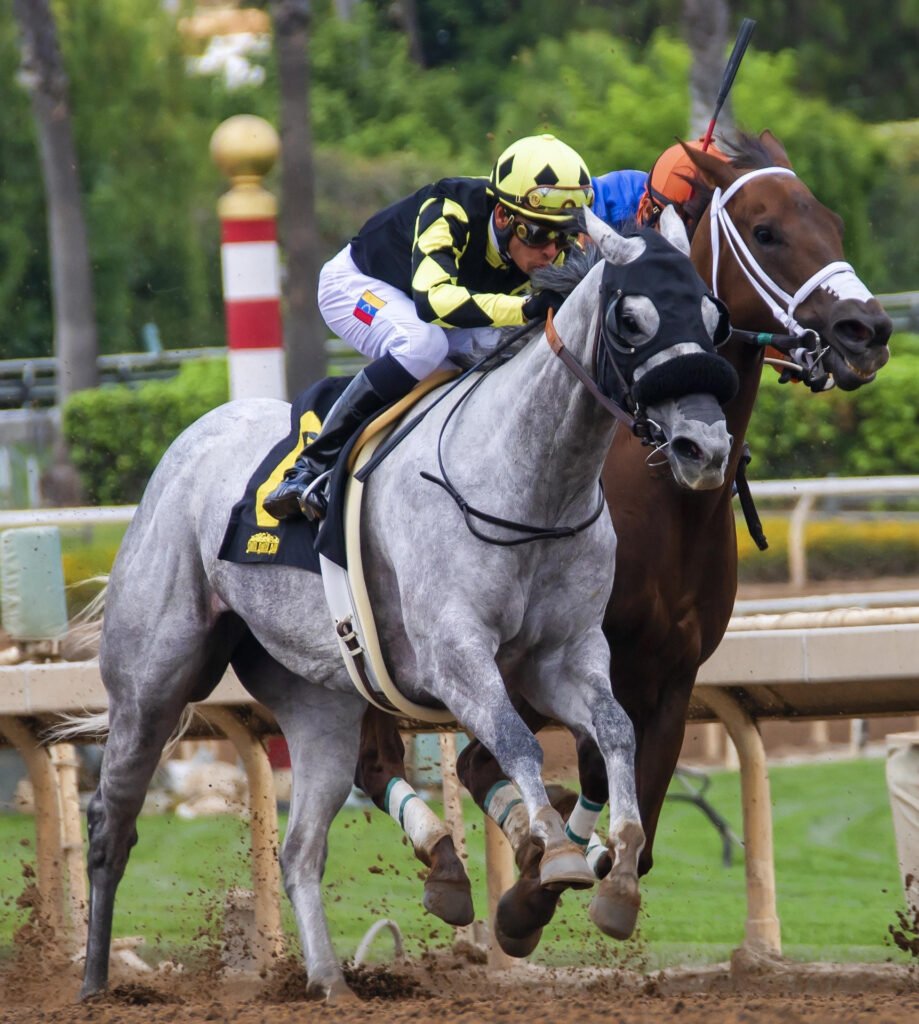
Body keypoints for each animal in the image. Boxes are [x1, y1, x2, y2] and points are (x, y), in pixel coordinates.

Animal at [74, 207, 737, 1001]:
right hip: (153, 679)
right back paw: (94, 983)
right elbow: (516, 741)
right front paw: (550, 850)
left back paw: (330, 982)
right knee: (112, 819)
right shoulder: (456, 659)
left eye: (714, 319)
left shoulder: (566, 655)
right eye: (631, 318)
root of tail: (188, 443)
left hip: (318, 701)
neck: (526, 484)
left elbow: (614, 733)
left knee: (301, 848)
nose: (704, 448)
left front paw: (619, 874)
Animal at [351, 131, 894, 954]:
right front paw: (529, 891)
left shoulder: (670, 676)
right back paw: (446, 859)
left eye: (830, 221)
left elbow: (628, 792)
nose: (866, 332)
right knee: (370, 754)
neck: (659, 500)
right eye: (766, 230)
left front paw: (588, 868)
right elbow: (492, 765)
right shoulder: (526, 665)